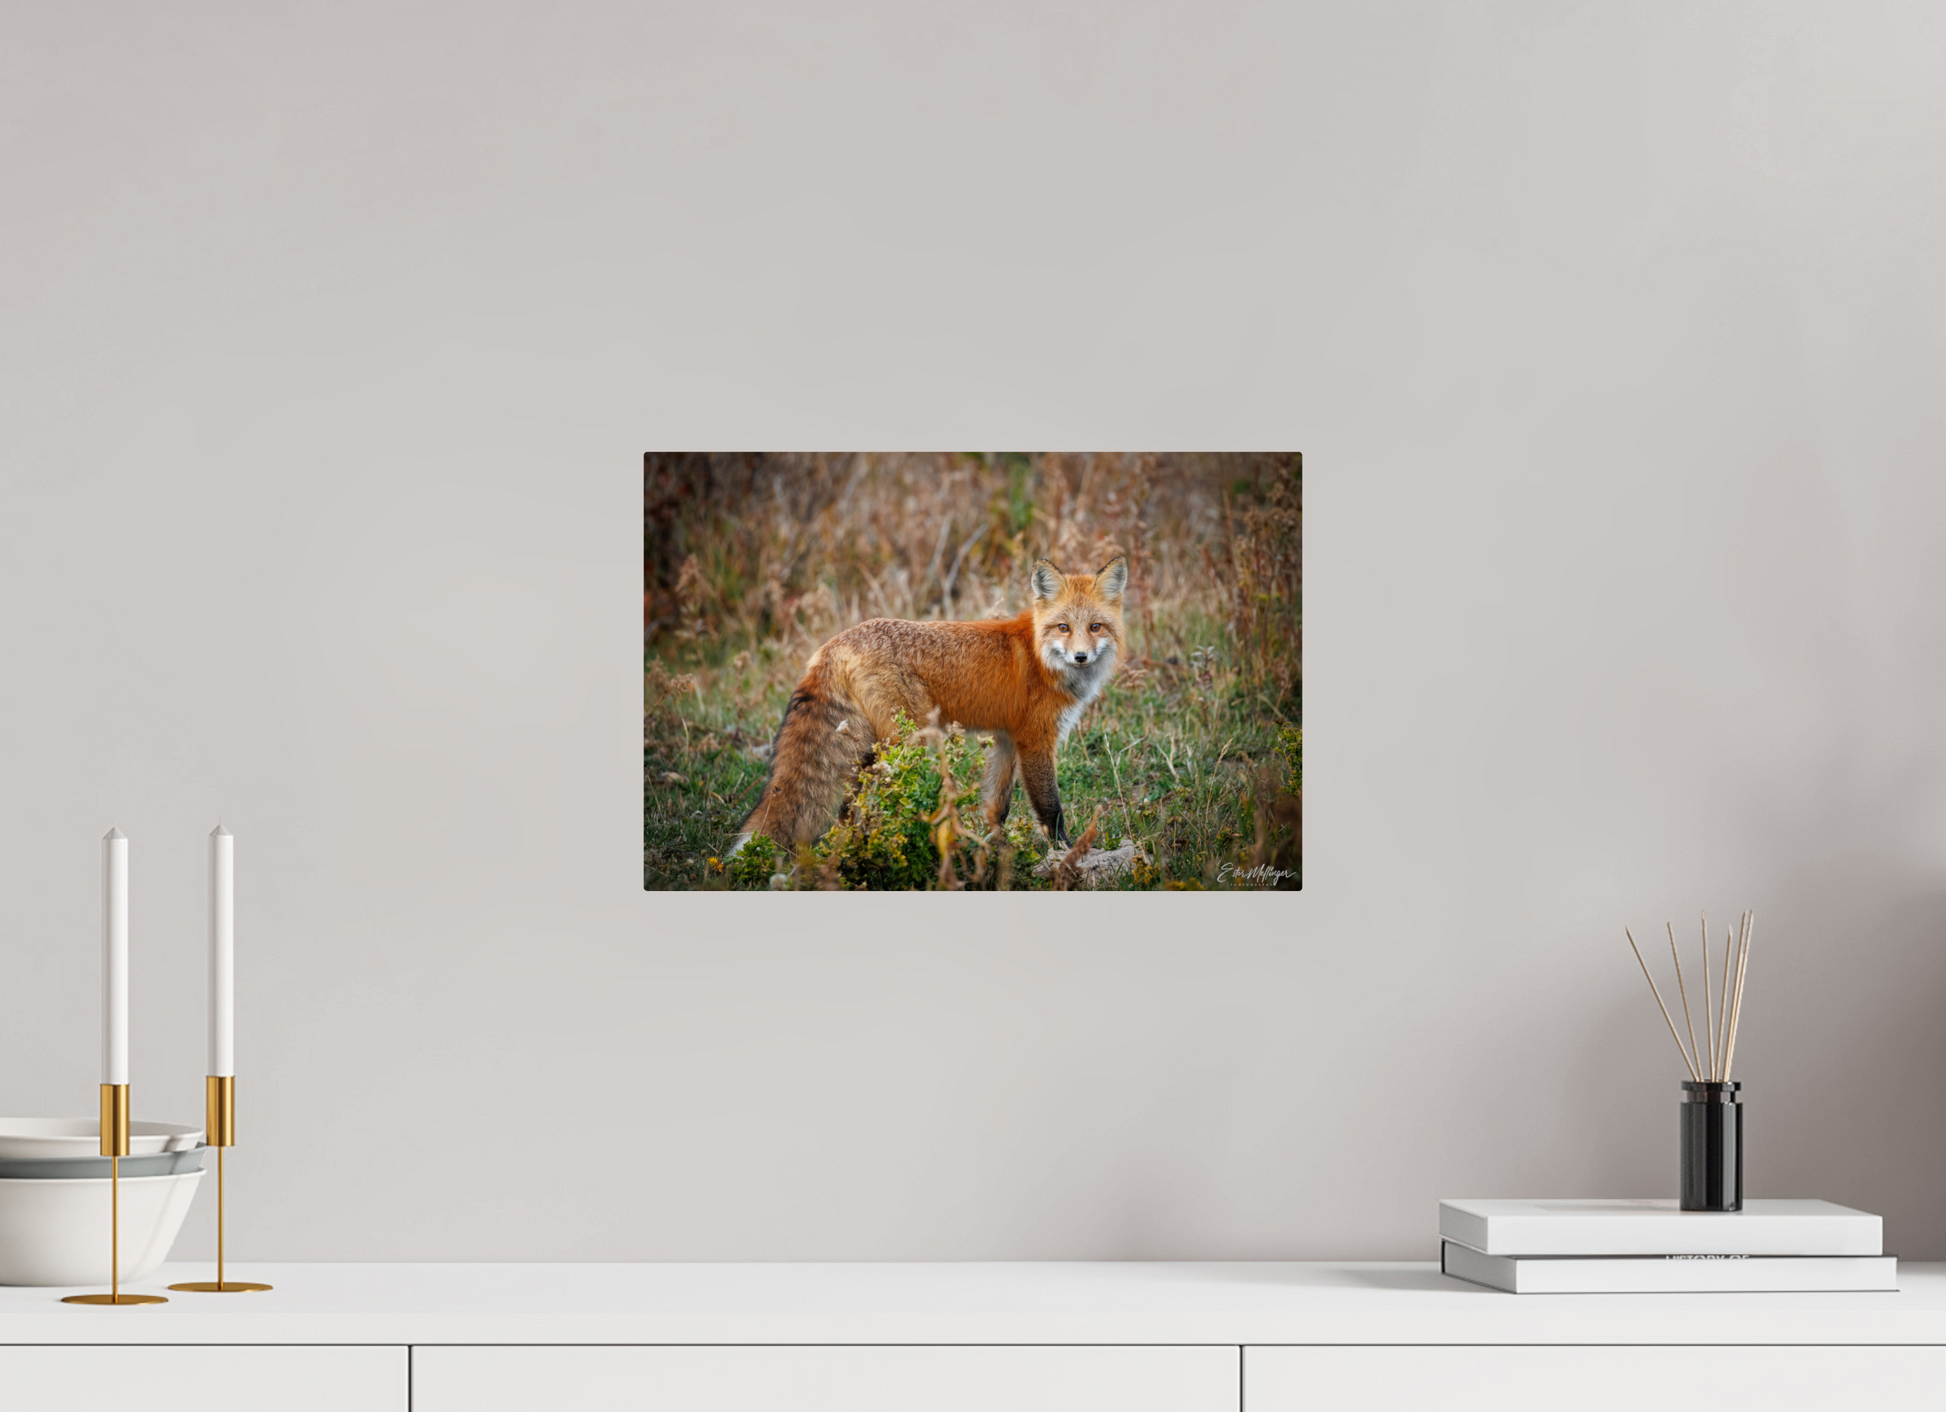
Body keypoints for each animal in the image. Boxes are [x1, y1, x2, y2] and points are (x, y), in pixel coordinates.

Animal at [733, 555, 1129, 854]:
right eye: (1063, 627)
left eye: (1095, 627)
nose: (1080, 656)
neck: (1040, 657)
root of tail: (835, 643)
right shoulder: (1035, 739)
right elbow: (1051, 808)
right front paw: (1066, 852)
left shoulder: (1006, 738)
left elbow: (996, 806)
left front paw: (997, 849)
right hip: (914, 741)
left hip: (867, 750)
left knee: (850, 807)